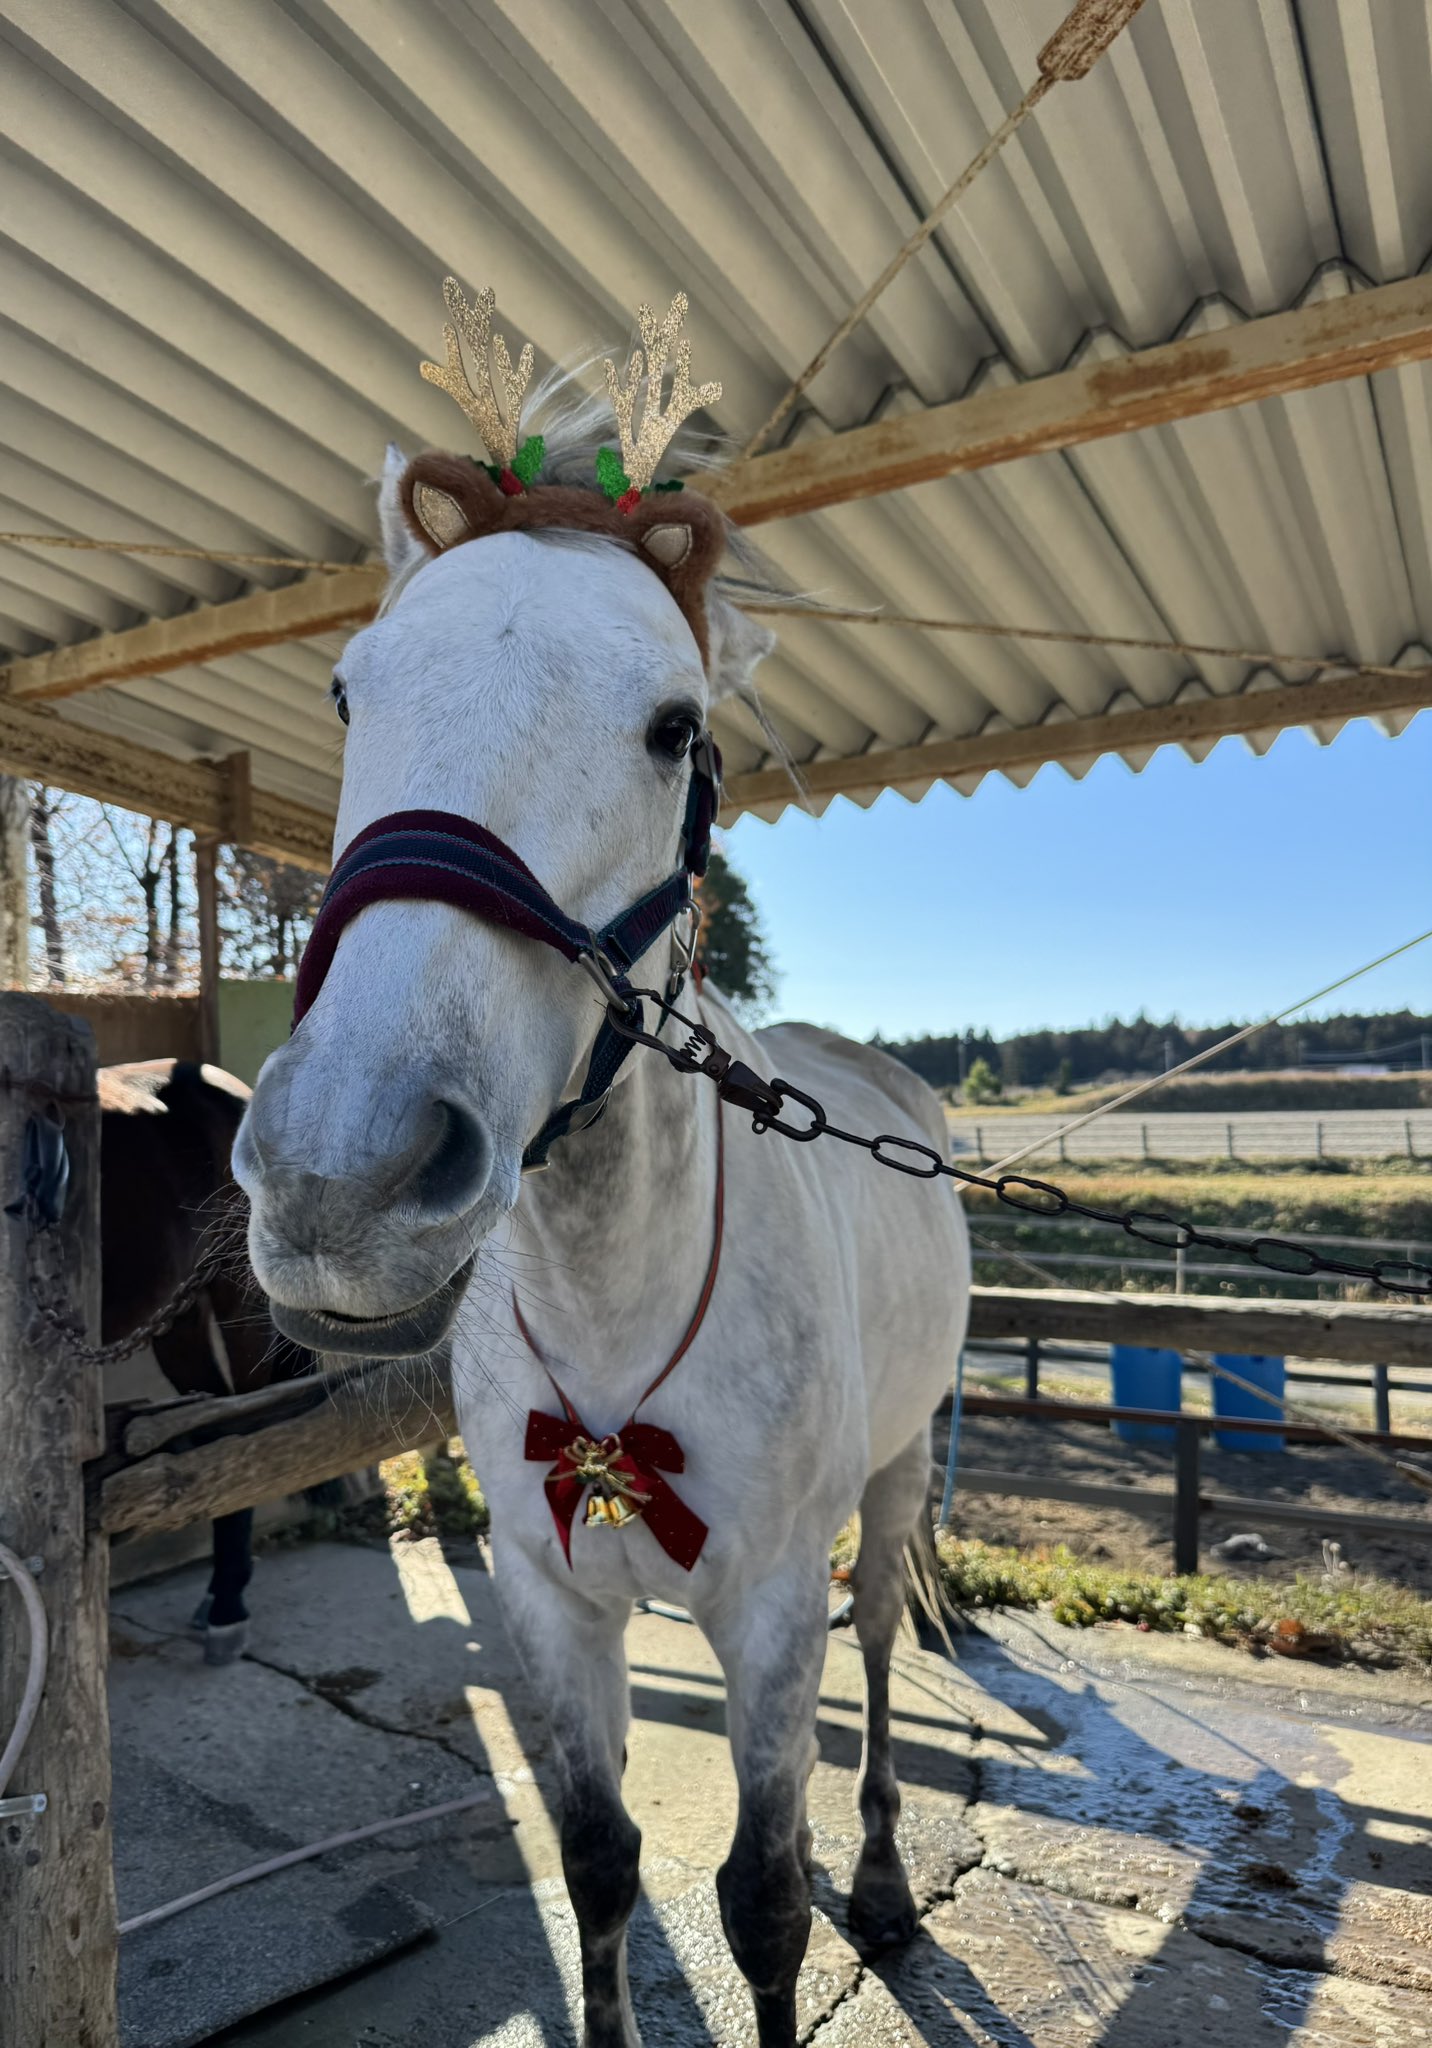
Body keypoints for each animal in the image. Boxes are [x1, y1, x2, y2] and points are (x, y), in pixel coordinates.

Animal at [233, 301, 970, 2046]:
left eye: (674, 727)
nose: (340, 1173)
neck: (612, 1289)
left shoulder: (765, 1610)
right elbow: (600, 1867)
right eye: (352, 695)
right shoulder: (552, 1605)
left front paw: (817, 1903)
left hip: (897, 1478)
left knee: (881, 1658)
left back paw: (886, 1878)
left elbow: (762, 1908)